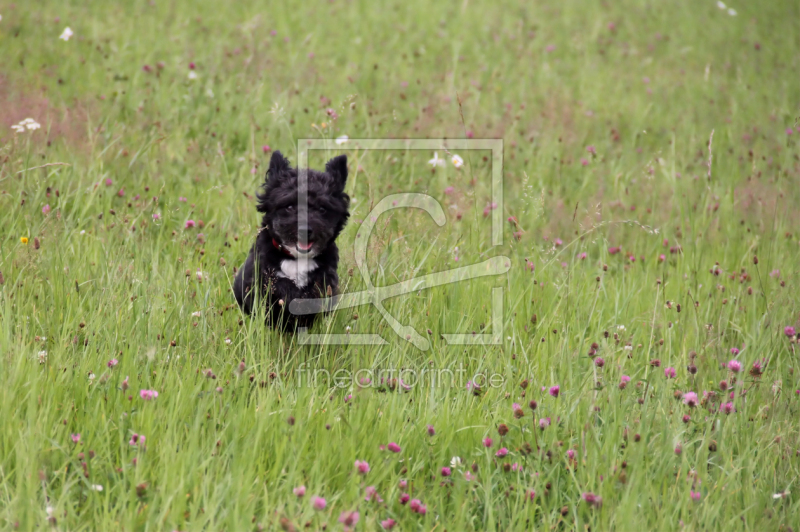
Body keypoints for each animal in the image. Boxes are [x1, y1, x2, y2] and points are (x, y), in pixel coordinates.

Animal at [236, 150, 352, 330]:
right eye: (289, 206)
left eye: (322, 209)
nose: (305, 230)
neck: (296, 258)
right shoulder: (261, 277)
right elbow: (282, 285)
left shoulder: (327, 278)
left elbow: (317, 289)